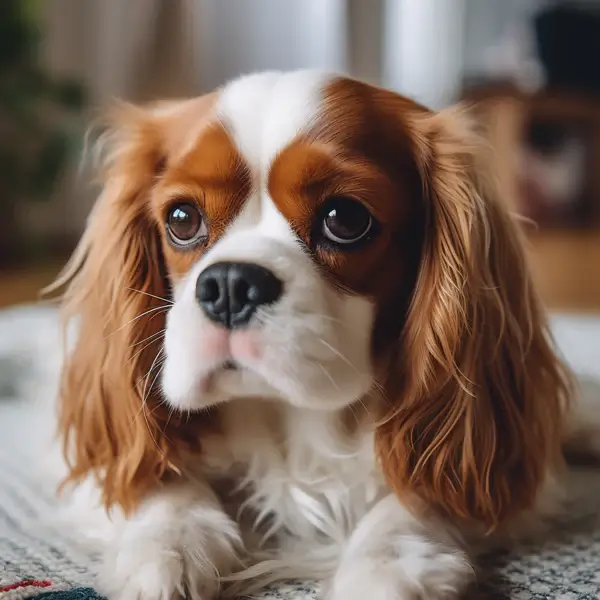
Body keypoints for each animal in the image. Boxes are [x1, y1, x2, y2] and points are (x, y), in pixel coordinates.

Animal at [50, 69, 600, 596]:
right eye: (182, 219)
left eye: (345, 218)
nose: (230, 285)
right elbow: (152, 471)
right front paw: (168, 542)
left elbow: (425, 485)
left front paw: (385, 561)